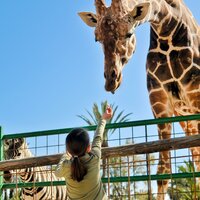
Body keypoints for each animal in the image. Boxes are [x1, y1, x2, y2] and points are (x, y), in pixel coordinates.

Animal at [79, 0, 199, 198]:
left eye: (128, 33)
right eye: (97, 38)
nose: (111, 80)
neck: (167, 30)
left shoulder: (195, 94)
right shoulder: (159, 102)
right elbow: (163, 172)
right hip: (186, 119)